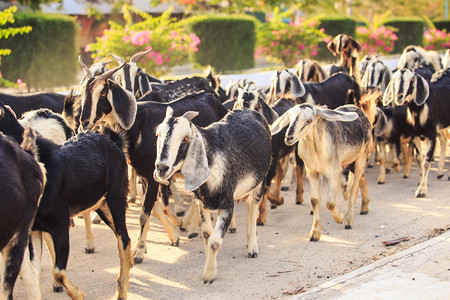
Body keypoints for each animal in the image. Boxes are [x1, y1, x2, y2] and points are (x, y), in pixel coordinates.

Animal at [0, 101, 134, 300]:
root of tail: (113, 141)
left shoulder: (60, 226)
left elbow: (58, 271)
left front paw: (78, 294)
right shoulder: (33, 231)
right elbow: (34, 271)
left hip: (115, 198)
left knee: (123, 239)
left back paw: (122, 290)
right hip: (101, 204)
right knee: (124, 238)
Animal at [154, 107, 270, 284]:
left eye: (186, 137)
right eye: (157, 134)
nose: (161, 167)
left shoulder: (227, 205)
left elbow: (215, 242)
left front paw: (209, 274)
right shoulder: (203, 204)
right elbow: (207, 235)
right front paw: (208, 267)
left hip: (259, 182)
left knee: (252, 207)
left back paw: (252, 247)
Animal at [270, 104, 372, 240]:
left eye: (309, 121)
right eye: (290, 119)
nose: (289, 137)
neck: (316, 150)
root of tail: (358, 109)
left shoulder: (333, 172)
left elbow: (330, 203)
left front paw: (340, 217)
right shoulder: (312, 172)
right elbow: (314, 200)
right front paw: (315, 232)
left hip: (361, 157)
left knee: (354, 188)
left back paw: (349, 221)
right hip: (351, 162)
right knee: (363, 179)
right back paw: (365, 207)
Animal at [384, 69, 450, 198]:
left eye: (411, 80)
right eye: (394, 80)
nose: (399, 96)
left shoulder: (431, 135)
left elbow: (426, 162)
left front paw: (421, 191)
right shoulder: (415, 136)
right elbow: (420, 159)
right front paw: (421, 182)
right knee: (444, 140)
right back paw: (440, 172)